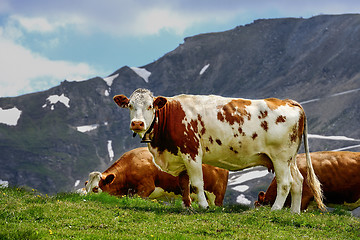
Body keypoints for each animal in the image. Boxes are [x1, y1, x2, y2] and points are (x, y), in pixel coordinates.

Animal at [114, 88, 324, 214]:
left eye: (150, 106)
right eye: (130, 105)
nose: (137, 123)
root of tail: (287, 101)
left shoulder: (191, 152)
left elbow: (196, 183)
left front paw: (203, 206)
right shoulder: (180, 158)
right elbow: (183, 184)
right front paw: (187, 207)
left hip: (280, 157)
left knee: (285, 183)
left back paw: (276, 209)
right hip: (290, 159)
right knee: (298, 181)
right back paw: (294, 212)